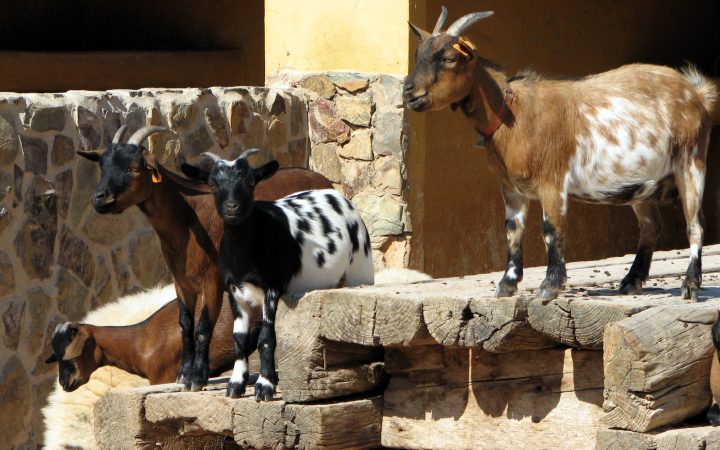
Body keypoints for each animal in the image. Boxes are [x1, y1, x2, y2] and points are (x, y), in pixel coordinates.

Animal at [77, 126, 333, 391]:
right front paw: (183, 374)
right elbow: (185, 326)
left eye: (133, 168)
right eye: (103, 166)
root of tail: (324, 180)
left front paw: (197, 378)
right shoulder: (182, 282)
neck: (189, 218)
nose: (99, 197)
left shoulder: (212, 281)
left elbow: (202, 328)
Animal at [181, 151, 374, 400]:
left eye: (250, 182)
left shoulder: (271, 288)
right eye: (213, 185)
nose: (232, 207)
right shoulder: (234, 290)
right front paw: (236, 384)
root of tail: (337, 195)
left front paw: (265, 385)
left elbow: (266, 338)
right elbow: (239, 338)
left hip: (361, 270)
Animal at [404, 7, 718, 301]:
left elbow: (551, 230)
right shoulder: (510, 187)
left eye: (449, 58)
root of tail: (697, 94)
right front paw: (507, 284)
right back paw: (631, 282)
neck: (513, 113)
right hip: (642, 185)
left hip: (691, 162)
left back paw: (690, 285)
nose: (409, 92)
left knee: (695, 225)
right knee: (651, 226)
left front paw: (550, 286)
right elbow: (512, 230)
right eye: (418, 55)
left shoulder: (552, 181)